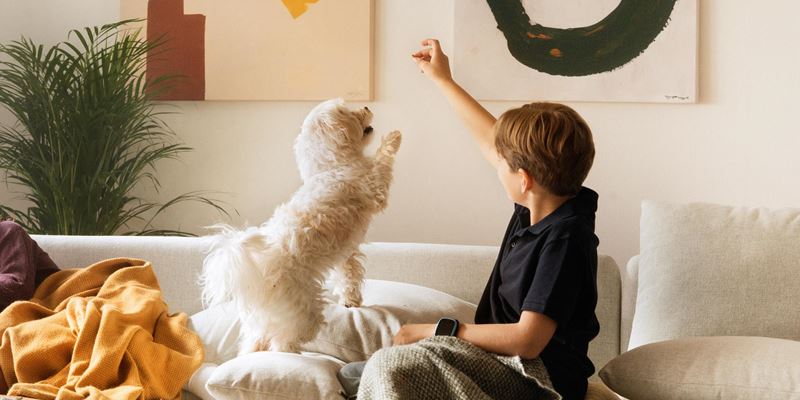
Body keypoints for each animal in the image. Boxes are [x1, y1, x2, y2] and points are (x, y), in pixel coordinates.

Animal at [200, 97, 400, 354]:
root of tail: (258, 270)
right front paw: (394, 137)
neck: (331, 166)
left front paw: (351, 301)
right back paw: (293, 353)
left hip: (263, 320)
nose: (365, 107)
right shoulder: (373, 185)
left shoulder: (345, 254)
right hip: (303, 312)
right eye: (347, 111)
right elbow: (382, 161)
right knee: (282, 342)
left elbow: (348, 277)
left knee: (256, 342)